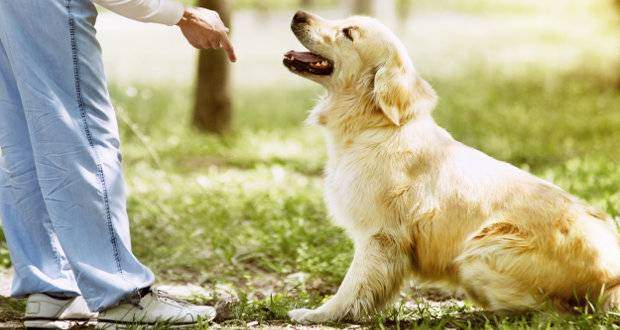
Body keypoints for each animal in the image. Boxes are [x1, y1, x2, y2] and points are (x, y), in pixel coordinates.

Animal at [282, 9, 620, 322]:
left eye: (348, 32)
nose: (298, 14)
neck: (375, 125)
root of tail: (612, 278)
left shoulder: (379, 236)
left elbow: (352, 286)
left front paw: (319, 314)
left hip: (479, 252)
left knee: (552, 311)